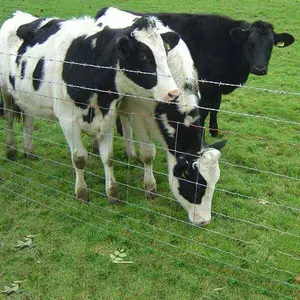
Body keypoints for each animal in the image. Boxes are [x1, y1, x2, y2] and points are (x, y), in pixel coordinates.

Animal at [0, 11, 180, 204]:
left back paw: (29, 151)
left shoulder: (108, 116)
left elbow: (108, 157)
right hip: (5, 90)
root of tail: (18, 15)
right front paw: (81, 193)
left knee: (28, 120)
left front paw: (112, 192)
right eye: (143, 56)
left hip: (27, 96)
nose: (173, 92)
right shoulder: (67, 120)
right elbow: (79, 158)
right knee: (9, 118)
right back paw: (11, 150)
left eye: (165, 53)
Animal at [95, 7, 226, 225]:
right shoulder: (139, 112)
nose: (204, 221)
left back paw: (130, 152)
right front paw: (150, 187)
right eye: (195, 186)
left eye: (214, 184)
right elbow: (148, 154)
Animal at [96, 7, 296, 137]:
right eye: (250, 44)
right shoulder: (206, 85)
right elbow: (205, 110)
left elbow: (216, 107)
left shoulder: (217, 86)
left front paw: (214, 131)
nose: (259, 69)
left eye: (270, 45)